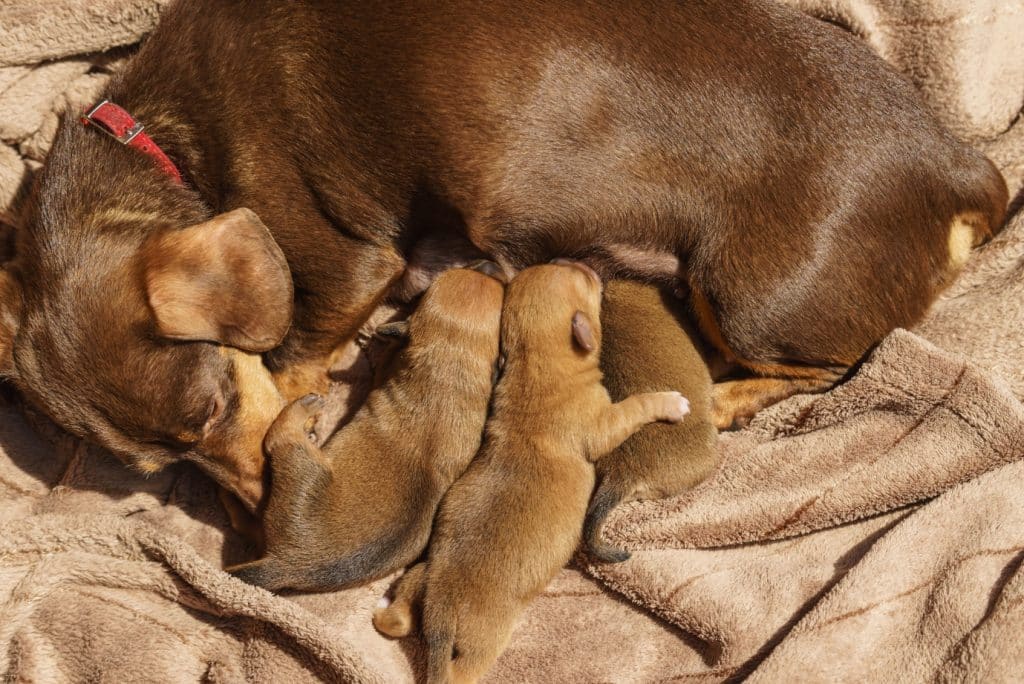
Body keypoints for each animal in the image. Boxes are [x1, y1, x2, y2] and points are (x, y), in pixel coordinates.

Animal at [0, 1, 1007, 507]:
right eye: (160, 470)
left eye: (209, 410)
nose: (253, 524)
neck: (167, 142)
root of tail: (954, 163)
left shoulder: (347, 267)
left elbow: (290, 362)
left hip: (753, 298)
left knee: (839, 366)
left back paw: (728, 397)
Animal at [230, 264, 505, 589]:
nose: (487, 267)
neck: (448, 365)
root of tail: (287, 565)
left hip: (303, 463)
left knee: (280, 439)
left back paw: (303, 409)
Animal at [372, 264, 692, 684]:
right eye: (582, 278)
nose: (590, 266)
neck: (534, 365)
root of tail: (440, 611)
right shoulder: (601, 422)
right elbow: (635, 407)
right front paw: (670, 402)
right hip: (483, 642)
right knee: (463, 670)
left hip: (420, 576)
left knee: (397, 620)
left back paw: (384, 610)